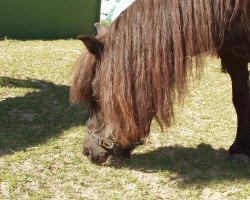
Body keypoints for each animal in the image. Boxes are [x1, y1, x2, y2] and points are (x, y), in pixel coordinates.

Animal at [69, 0, 249, 165]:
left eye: (97, 97)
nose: (87, 151)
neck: (230, 13)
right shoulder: (233, 57)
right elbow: (240, 101)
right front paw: (239, 148)